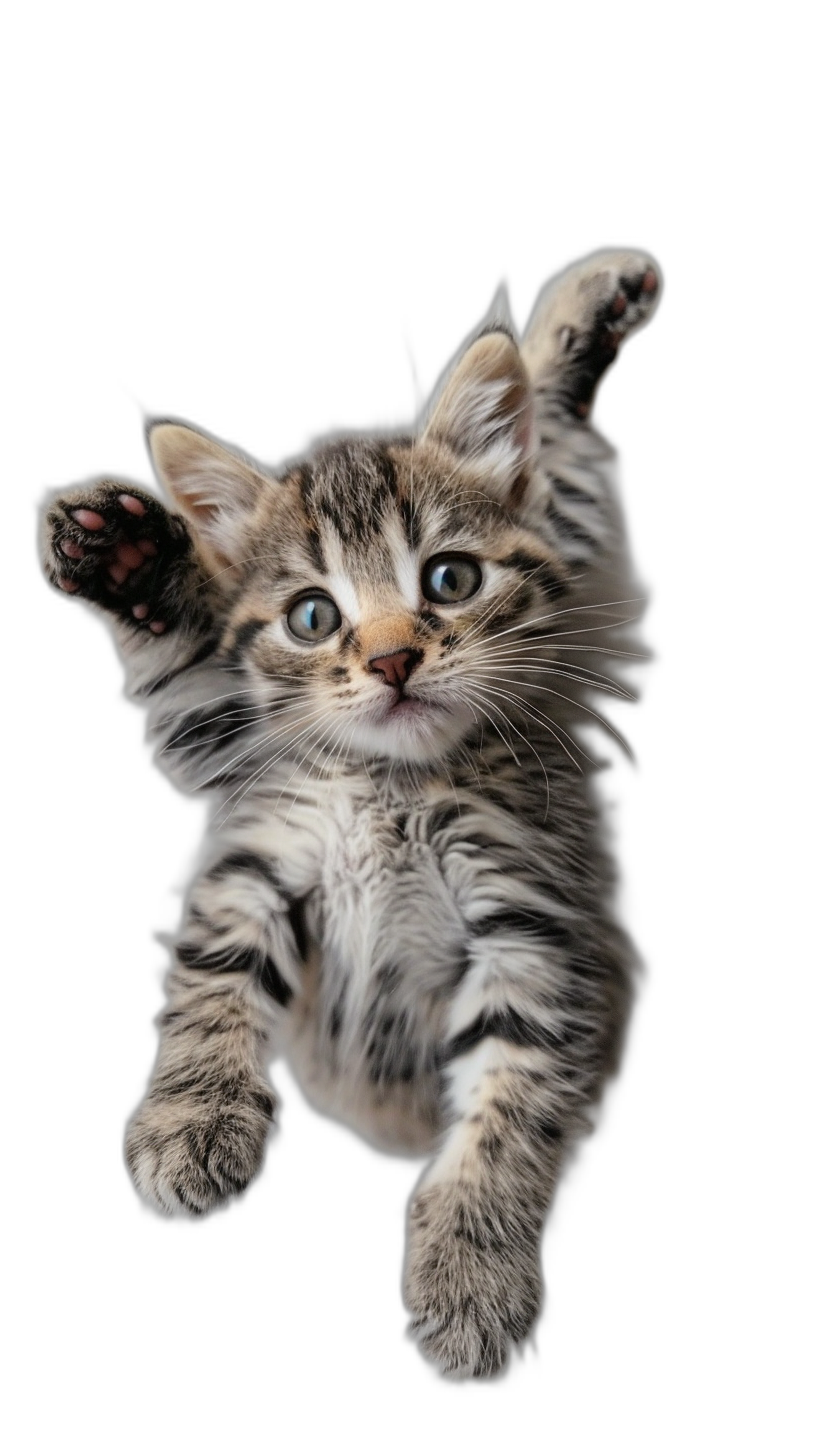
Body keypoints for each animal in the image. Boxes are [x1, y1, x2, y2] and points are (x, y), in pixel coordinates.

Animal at [39, 253, 664, 1386]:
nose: (391, 660)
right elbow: (213, 983)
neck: (394, 786)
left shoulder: (540, 927)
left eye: (450, 578)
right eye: (313, 616)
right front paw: (192, 1118)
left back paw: (589, 300)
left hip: (583, 625)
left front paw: (474, 1278)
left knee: (570, 478)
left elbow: (512, 1105)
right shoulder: (242, 791)